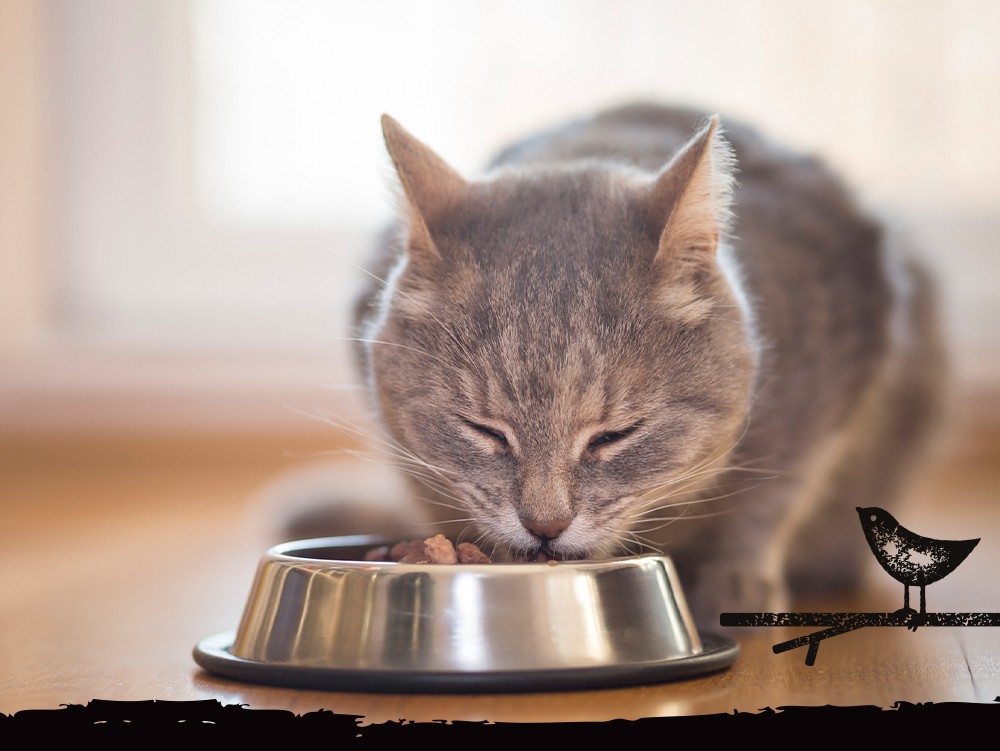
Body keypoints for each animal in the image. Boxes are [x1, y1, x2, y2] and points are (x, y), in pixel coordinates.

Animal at [282, 103, 944, 624]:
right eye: (485, 432)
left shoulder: (833, 377)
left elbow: (773, 495)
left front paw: (735, 577)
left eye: (615, 436)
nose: (544, 527)